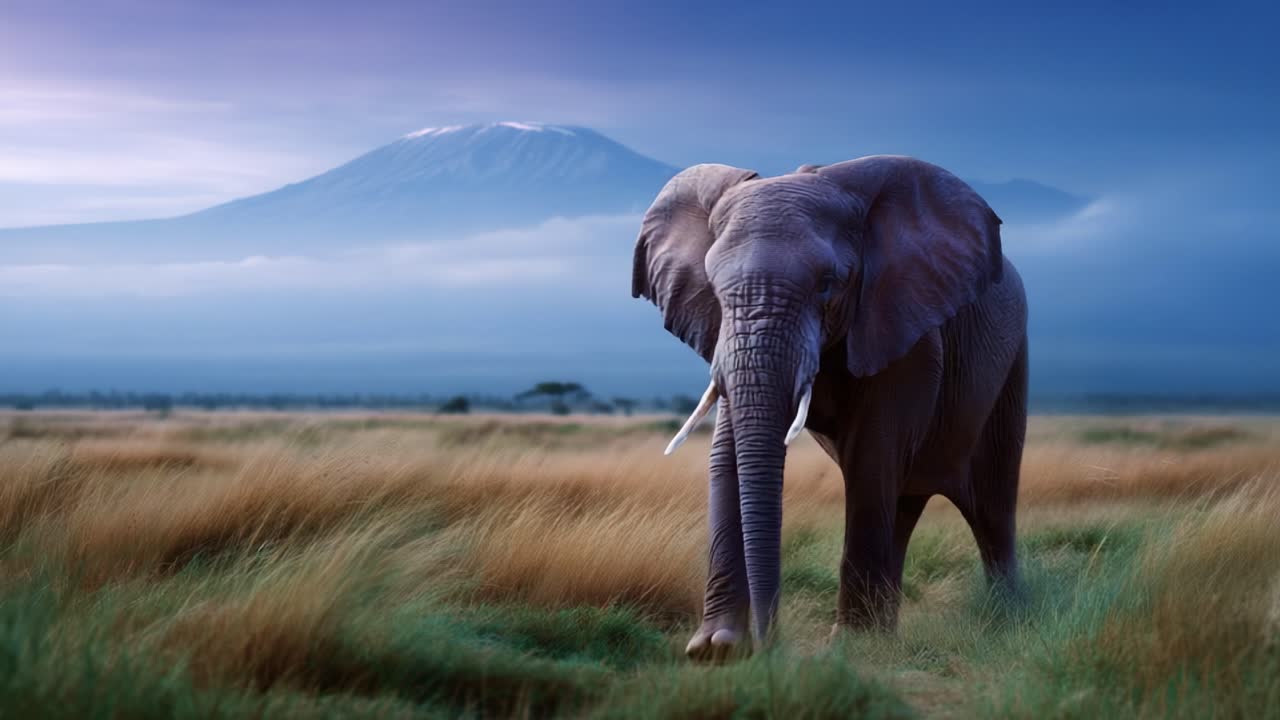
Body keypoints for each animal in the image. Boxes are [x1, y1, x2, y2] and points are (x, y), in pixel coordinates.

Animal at [632, 156, 1028, 662]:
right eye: (715, 289)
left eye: (827, 285)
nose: (771, 642)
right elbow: (726, 456)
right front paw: (715, 650)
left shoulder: (904, 329)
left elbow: (871, 456)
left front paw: (851, 647)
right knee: (904, 504)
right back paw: (887, 631)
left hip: (1012, 363)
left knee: (991, 503)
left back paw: (1005, 619)